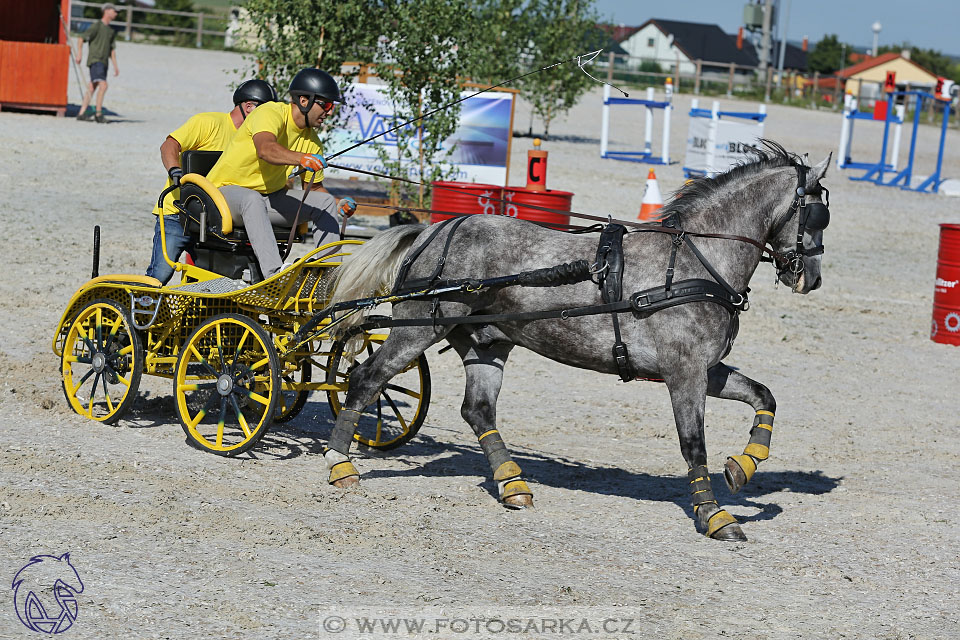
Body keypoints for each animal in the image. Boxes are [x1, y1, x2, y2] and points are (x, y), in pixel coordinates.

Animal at [320, 141, 824, 540]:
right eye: (818, 213)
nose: (810, 279)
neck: (693, 264)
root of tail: (433, 229)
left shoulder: (706, 369)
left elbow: (764, 396)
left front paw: (743, 467)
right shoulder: (683, 372)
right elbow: (693, 443)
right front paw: (715, 515)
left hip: (485, 343)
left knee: (478, 410)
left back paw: (513, 486)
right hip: (418, 328)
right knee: (365, 379)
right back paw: (340, 465)